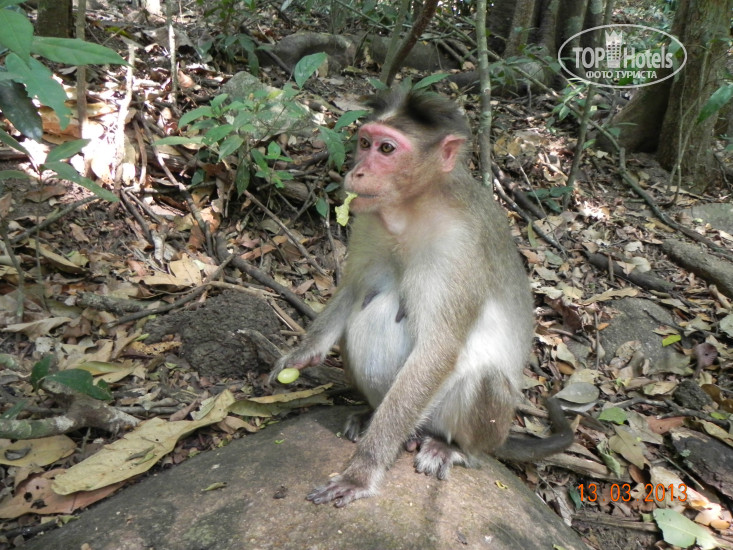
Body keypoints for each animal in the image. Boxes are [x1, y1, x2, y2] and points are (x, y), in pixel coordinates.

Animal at [270, 87, 573, 507]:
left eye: (386, 148)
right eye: (364, 143)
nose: (356, 171)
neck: (412, 209)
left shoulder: (458, 247)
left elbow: (439, 349)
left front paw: (362, 470)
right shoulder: (369, 220)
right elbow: (354, 289)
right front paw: (302, 355)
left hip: (470, 423)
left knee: (484, 382)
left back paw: (455, 448)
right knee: (370, 304)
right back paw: (372, 414)